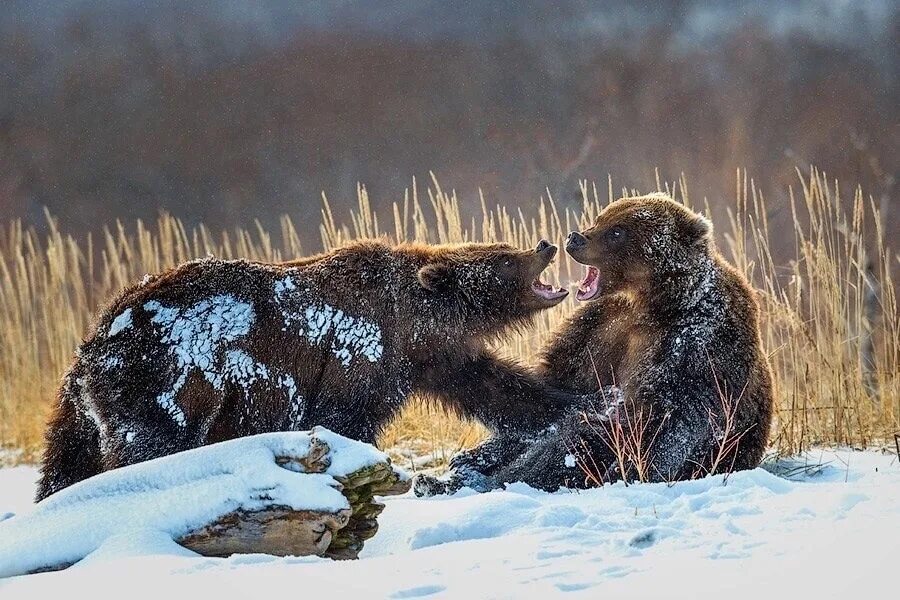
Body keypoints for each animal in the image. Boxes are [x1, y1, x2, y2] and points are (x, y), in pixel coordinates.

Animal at [37, 237, 576, 500]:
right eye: (504, 258)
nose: (545, 245)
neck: (411, 318)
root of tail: (93, 344)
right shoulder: (358, 353)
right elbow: (343, 418)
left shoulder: (436, 357)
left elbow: (499, 388)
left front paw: (569, 405)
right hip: (163, 379)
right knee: (149, 443)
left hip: (80, 408)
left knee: (65, 461)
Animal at [414, 195, 772, 494]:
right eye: (601, 217)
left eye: (617, 232)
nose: (575, 237)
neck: (650, 306)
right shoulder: (600, 330)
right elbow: (552, 393)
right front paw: (475, 455)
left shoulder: (693, 345)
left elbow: (664, 418)